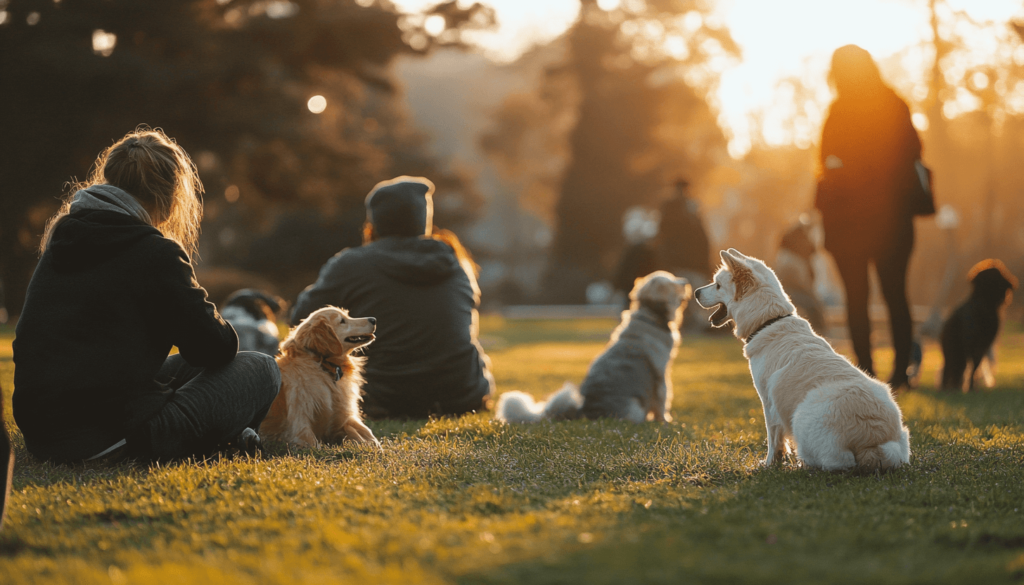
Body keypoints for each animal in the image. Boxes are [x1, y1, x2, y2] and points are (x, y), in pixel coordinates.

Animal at [260, 307, 380, 448]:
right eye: (342, 321)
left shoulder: (342, 414)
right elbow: (311, 441)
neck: (322, 365)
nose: (374, 319)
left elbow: (364, 430)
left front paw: (374, 444)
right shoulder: (300, 417)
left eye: (348, 316)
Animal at [493, 270, 688, 426]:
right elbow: (663, 401)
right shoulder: (661, 376)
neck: (650, 317)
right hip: (635, 407)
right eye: (673, 281)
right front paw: (665, 421)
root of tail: (583, 410)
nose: (686, 281)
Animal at [696, 247, 913, 471]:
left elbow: (774, 439)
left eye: (717, 285)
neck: (769, 321)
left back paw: (804, 464)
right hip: (898, 433)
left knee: (833, 462)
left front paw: (769, 464)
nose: (695, 292)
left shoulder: (768, 402)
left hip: (801, 416)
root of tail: (873, 441)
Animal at [937, 260, 1019, 389]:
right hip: (950, 348)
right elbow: (971, 365)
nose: (1012, 282)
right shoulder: (971, 343)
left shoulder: (984, 344)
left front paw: (971, 386)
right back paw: (946, 387)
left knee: (955, 367)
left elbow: (975, 365)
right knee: (949, 366)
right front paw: (968, 386)